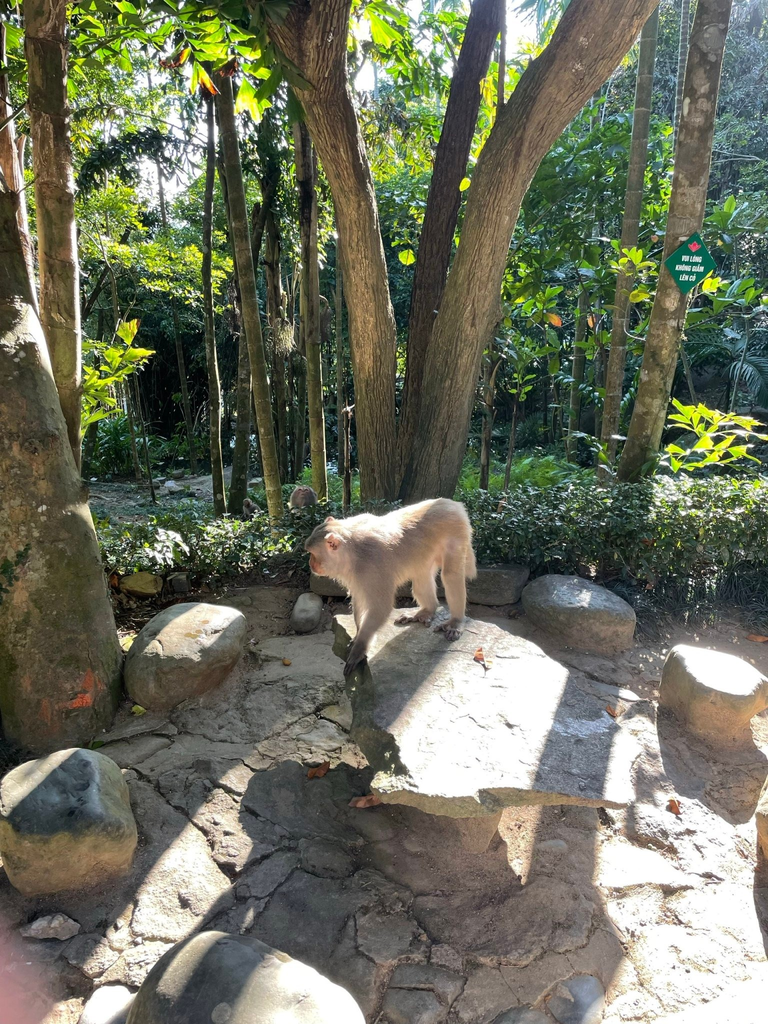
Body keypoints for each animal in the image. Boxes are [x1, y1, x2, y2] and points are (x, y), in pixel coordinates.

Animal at [305, 498, 477, 676]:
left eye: (313, 554)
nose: (310, 564)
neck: (352, 552)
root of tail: (453, 504)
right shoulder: (357, 575)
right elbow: (359, 599)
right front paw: (358, 636)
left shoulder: (373, 568)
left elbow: (381, 607)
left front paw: (360, 646)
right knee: (421, 574)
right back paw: (427, 610)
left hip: (456, 533)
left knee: (450, 575)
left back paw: (456, 621)